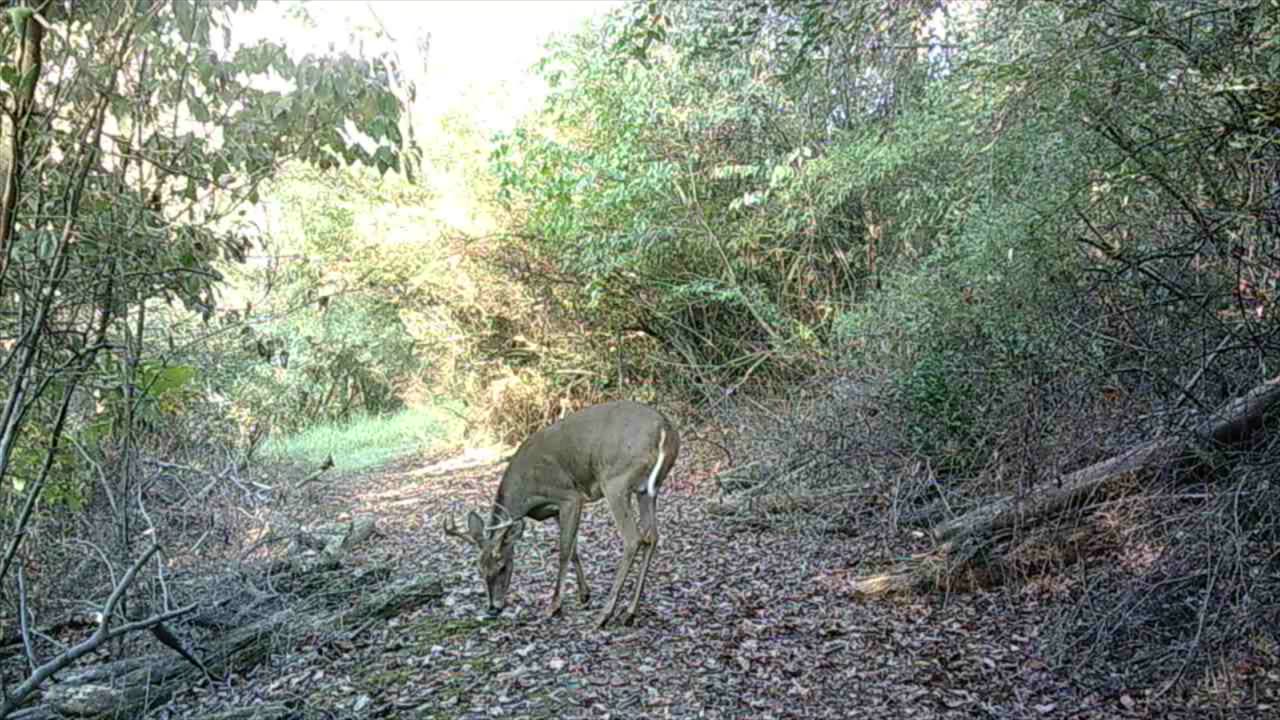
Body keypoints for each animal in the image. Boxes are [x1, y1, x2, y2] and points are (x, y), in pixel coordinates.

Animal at [442, 397, 680, 627]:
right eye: (480, 570)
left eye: (502, 567)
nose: (493, 608)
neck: (526, 489)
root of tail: (665, 428)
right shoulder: (556, 509)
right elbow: (573, 548)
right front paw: (584, 594)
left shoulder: (569, 496)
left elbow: (564, 549)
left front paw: (555, 605)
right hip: (647, 489)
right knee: (652, 536)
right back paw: (630, 613)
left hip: (615, 481)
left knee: (633, 538)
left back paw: (605, 615)